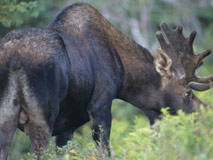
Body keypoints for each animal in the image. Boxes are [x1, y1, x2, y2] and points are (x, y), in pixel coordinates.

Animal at [0, 2, 213, 159]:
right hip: (42, 117)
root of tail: (14, 59)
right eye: (187, 93)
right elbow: (105, 152)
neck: (124, 74)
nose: (206, 112)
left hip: (7, 116)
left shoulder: (67, 127)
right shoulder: (100, 106)